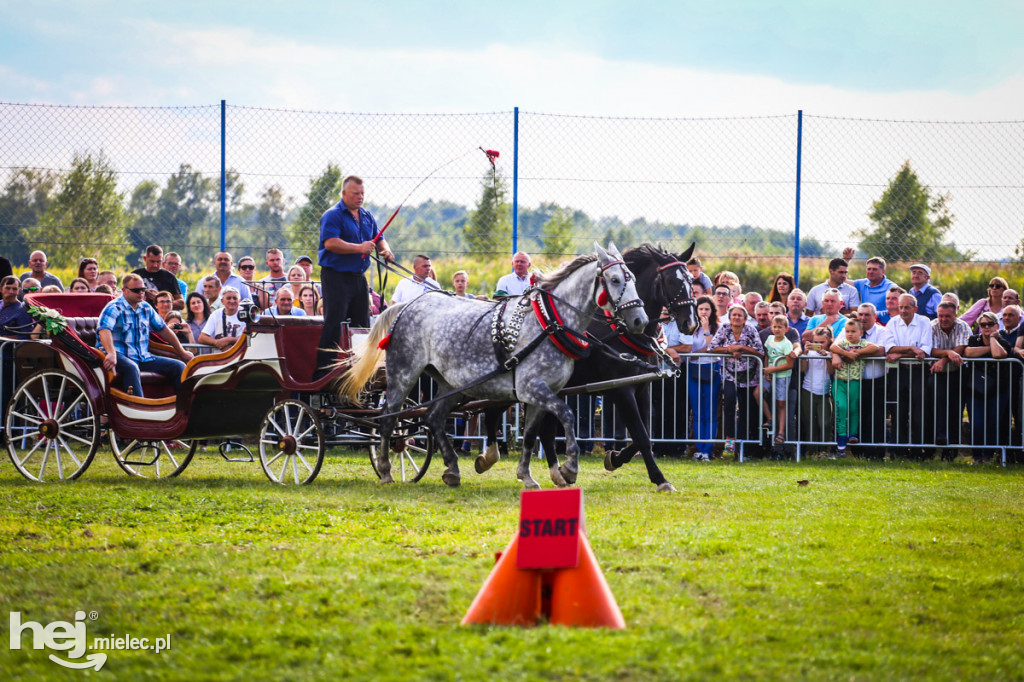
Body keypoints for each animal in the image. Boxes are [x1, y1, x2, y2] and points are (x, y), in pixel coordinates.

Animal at [342, 241, 647, 485]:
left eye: (633, 278)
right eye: (615, 280)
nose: (640, 321)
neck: (549, 321)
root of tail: (406, 307)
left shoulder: (541, 394)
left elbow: (531, 435)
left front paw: (527, 476)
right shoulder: (532, 388)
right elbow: (567, 416)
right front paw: (569, 468)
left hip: (451, 383)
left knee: (433, 417)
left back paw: (452, 470)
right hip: (404, 373)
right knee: (389, 418)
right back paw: (385, 470)